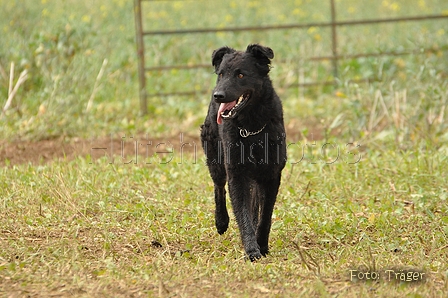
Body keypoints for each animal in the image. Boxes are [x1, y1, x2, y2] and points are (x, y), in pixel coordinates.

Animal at [200, 44, 286, 260]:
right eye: (221, 74)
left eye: (240, 75)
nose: (218, 95)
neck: (252, 128)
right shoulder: (237, 174)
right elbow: (242, 213)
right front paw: (252, 249)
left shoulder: (271, 175)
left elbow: (265, 216)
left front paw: (261, 245)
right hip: (216, 161)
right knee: (219, 188)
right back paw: (221, 221)